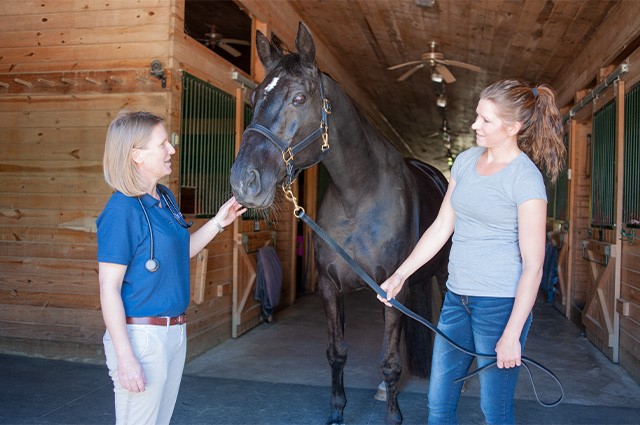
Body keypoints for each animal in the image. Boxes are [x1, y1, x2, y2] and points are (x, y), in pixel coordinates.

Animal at [230, 23, 450, 424]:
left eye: (300, 98)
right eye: (254, 96)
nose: (244, 181)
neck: (358, 199)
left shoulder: (392, 292)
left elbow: (390, 361)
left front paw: (394, 417)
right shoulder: (330, 288)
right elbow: (337, 353)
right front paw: (337, 412)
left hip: (442, 275)